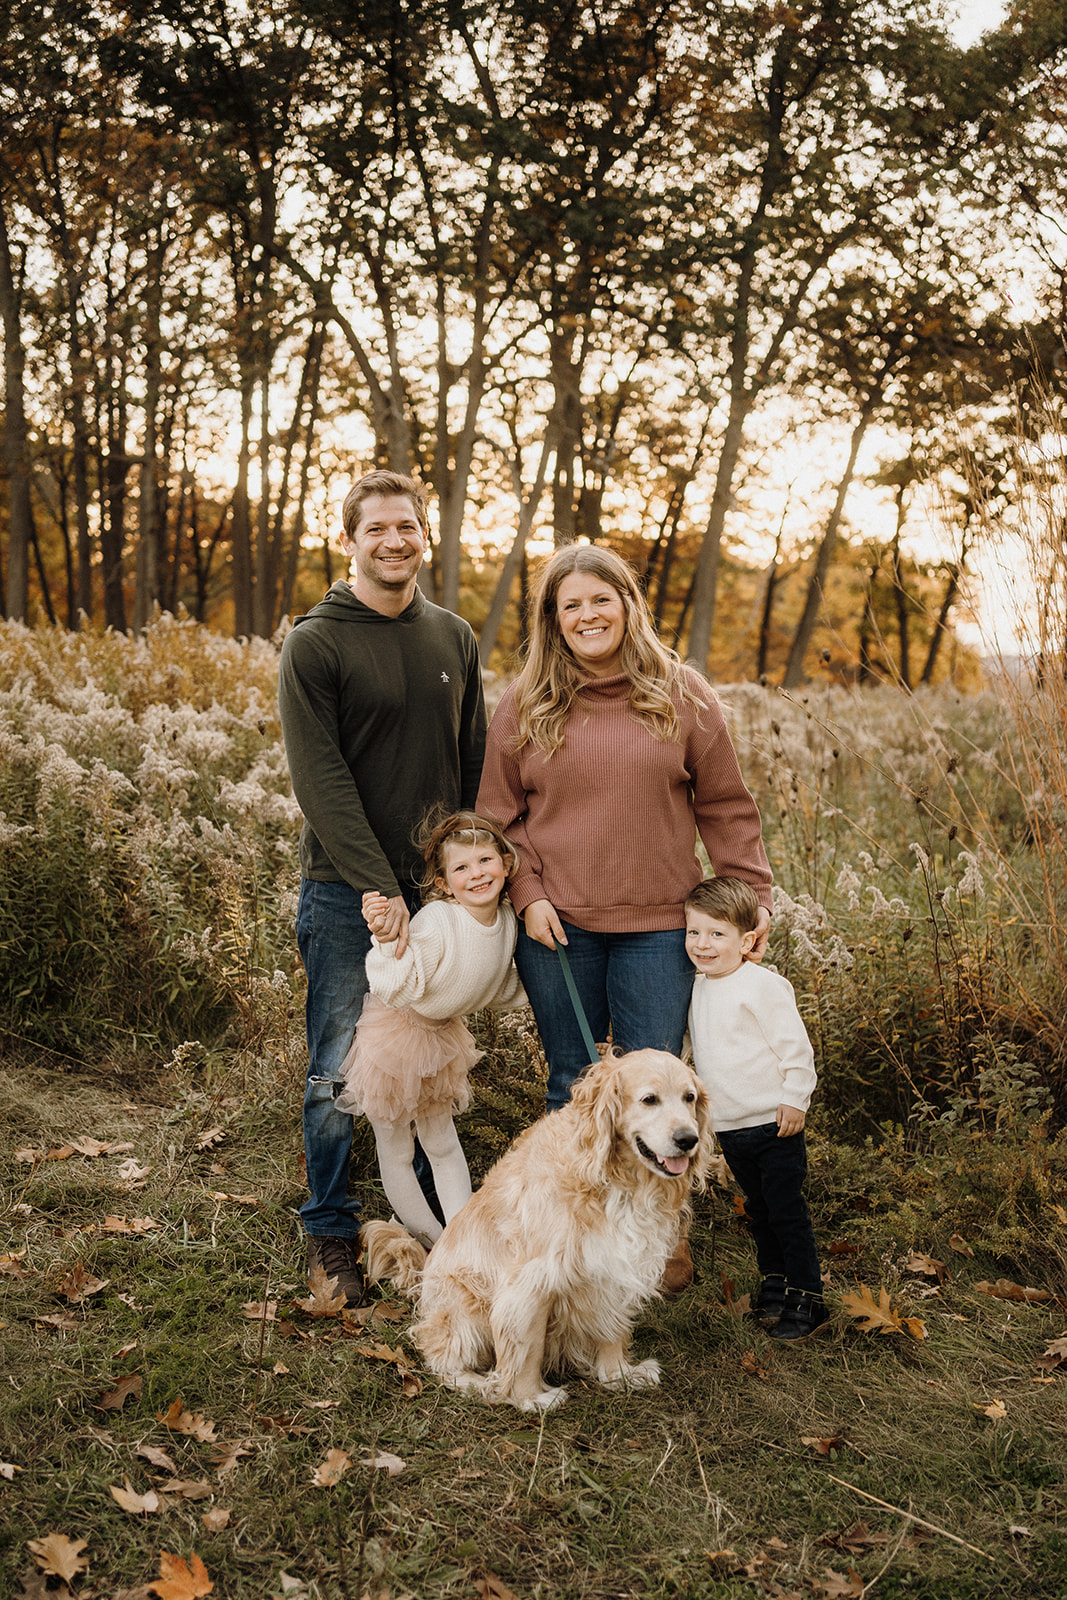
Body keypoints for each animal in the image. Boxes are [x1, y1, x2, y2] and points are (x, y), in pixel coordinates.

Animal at [363, 1049, 713, 1414]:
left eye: (689, 1097)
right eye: (649, 1099)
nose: (688, 1140)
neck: (615, 1180)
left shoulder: (616, 1268)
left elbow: (612, 1328)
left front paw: (618, 1375)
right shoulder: (532, 1281)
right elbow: (527, 1346)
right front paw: (529, 1397)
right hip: (465, 1302)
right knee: (441, 1358)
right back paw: (479, 1383)